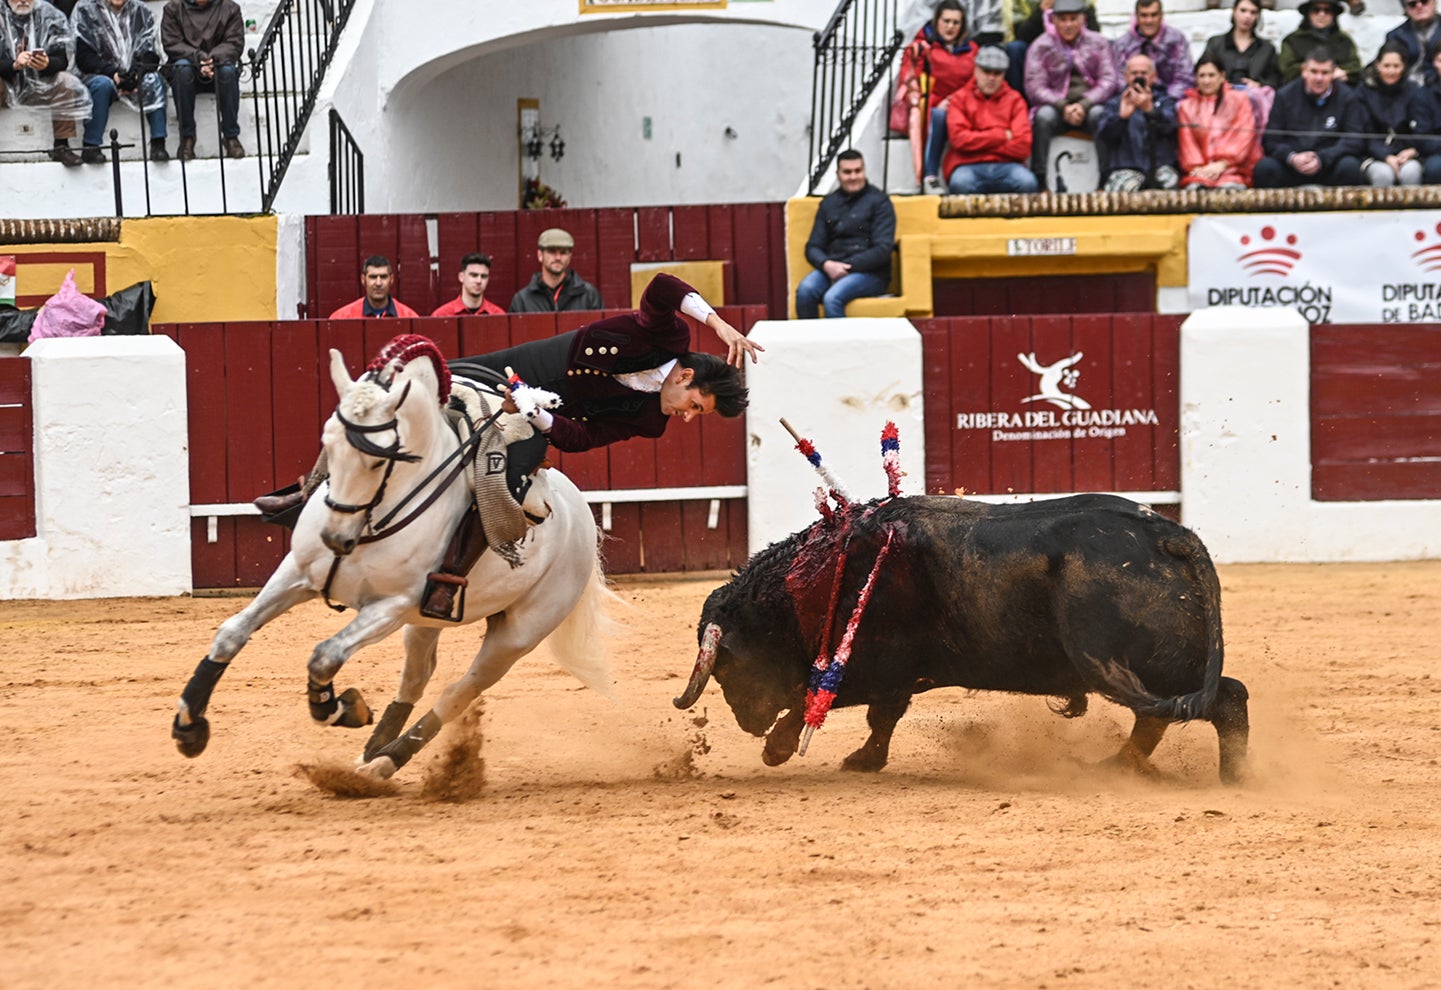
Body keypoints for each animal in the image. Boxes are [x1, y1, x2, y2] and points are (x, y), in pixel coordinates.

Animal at [172, 337, 613, 778]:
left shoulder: (391, 606)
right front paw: (189, 727)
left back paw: (385, 762)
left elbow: (325, 656)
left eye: (379, 459)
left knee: (459, 691)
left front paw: (343, 708)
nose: (335, 538)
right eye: (328, 443)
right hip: (424, 623)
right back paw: (372, 753)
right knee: (417, 676)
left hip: (521, 631)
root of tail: (579, 509)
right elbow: (232, 632)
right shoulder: (297, 573)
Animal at [674, 492, 1250, 783]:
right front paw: (861, 759)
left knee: (1223, 700)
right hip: (1151, 668)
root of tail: (1170, 535)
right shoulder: (895, 676)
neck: (823, 574)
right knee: (1163, 717)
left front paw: (780, 746)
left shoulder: (874, 666)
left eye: (728, 665)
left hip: (1148, 667)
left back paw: (1235, 777)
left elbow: (833, 701)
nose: (747, 723)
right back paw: (1119, 766)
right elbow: (879, 716)